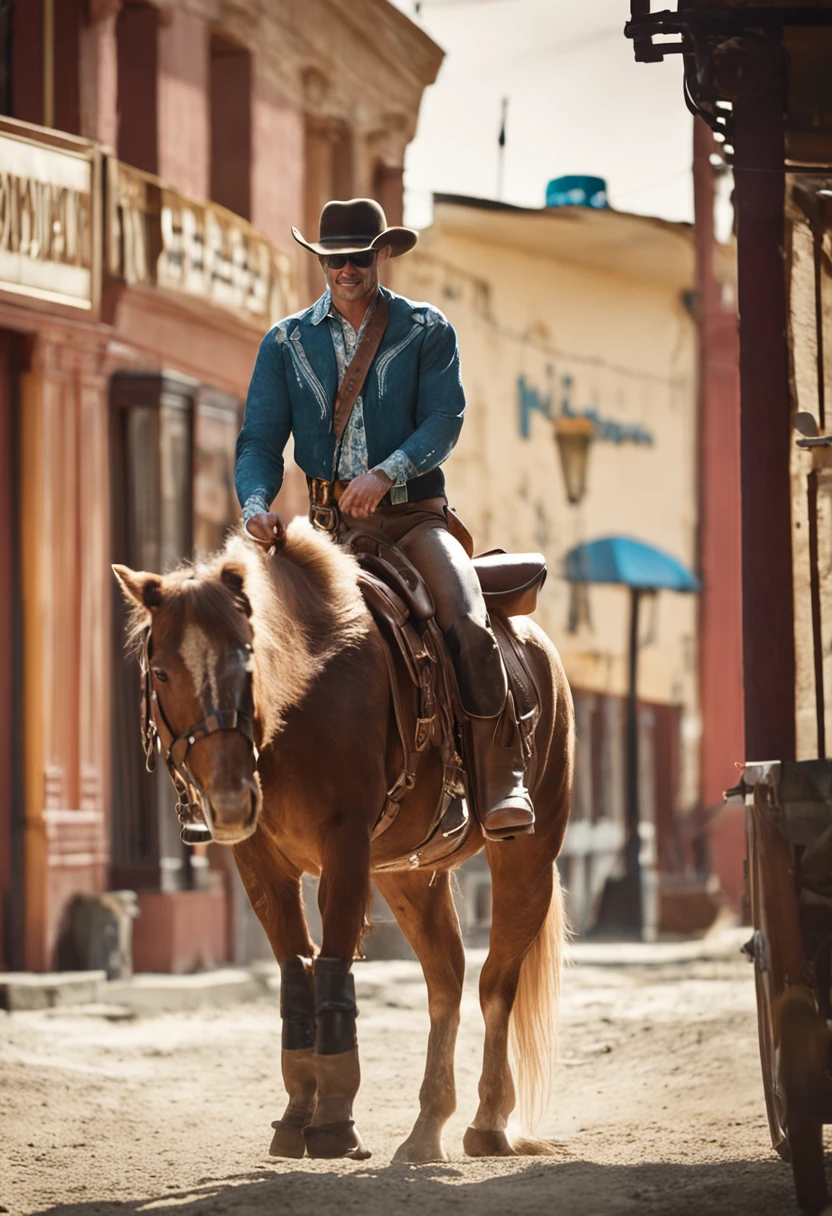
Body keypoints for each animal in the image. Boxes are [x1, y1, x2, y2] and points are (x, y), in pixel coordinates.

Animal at [115, 518, 571, 1162]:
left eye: (248, 660)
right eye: (161, 672)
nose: (229, 801)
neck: (302, 699)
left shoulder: (346, 845)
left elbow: (331, 964)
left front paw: (333, 1120)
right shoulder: (261, 863)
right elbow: (297, 973)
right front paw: (295, 1115)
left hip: (526, 857)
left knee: (495, 984)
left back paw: (487, 1123)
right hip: (410, 877)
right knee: (446, 980)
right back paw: (426, 1128)